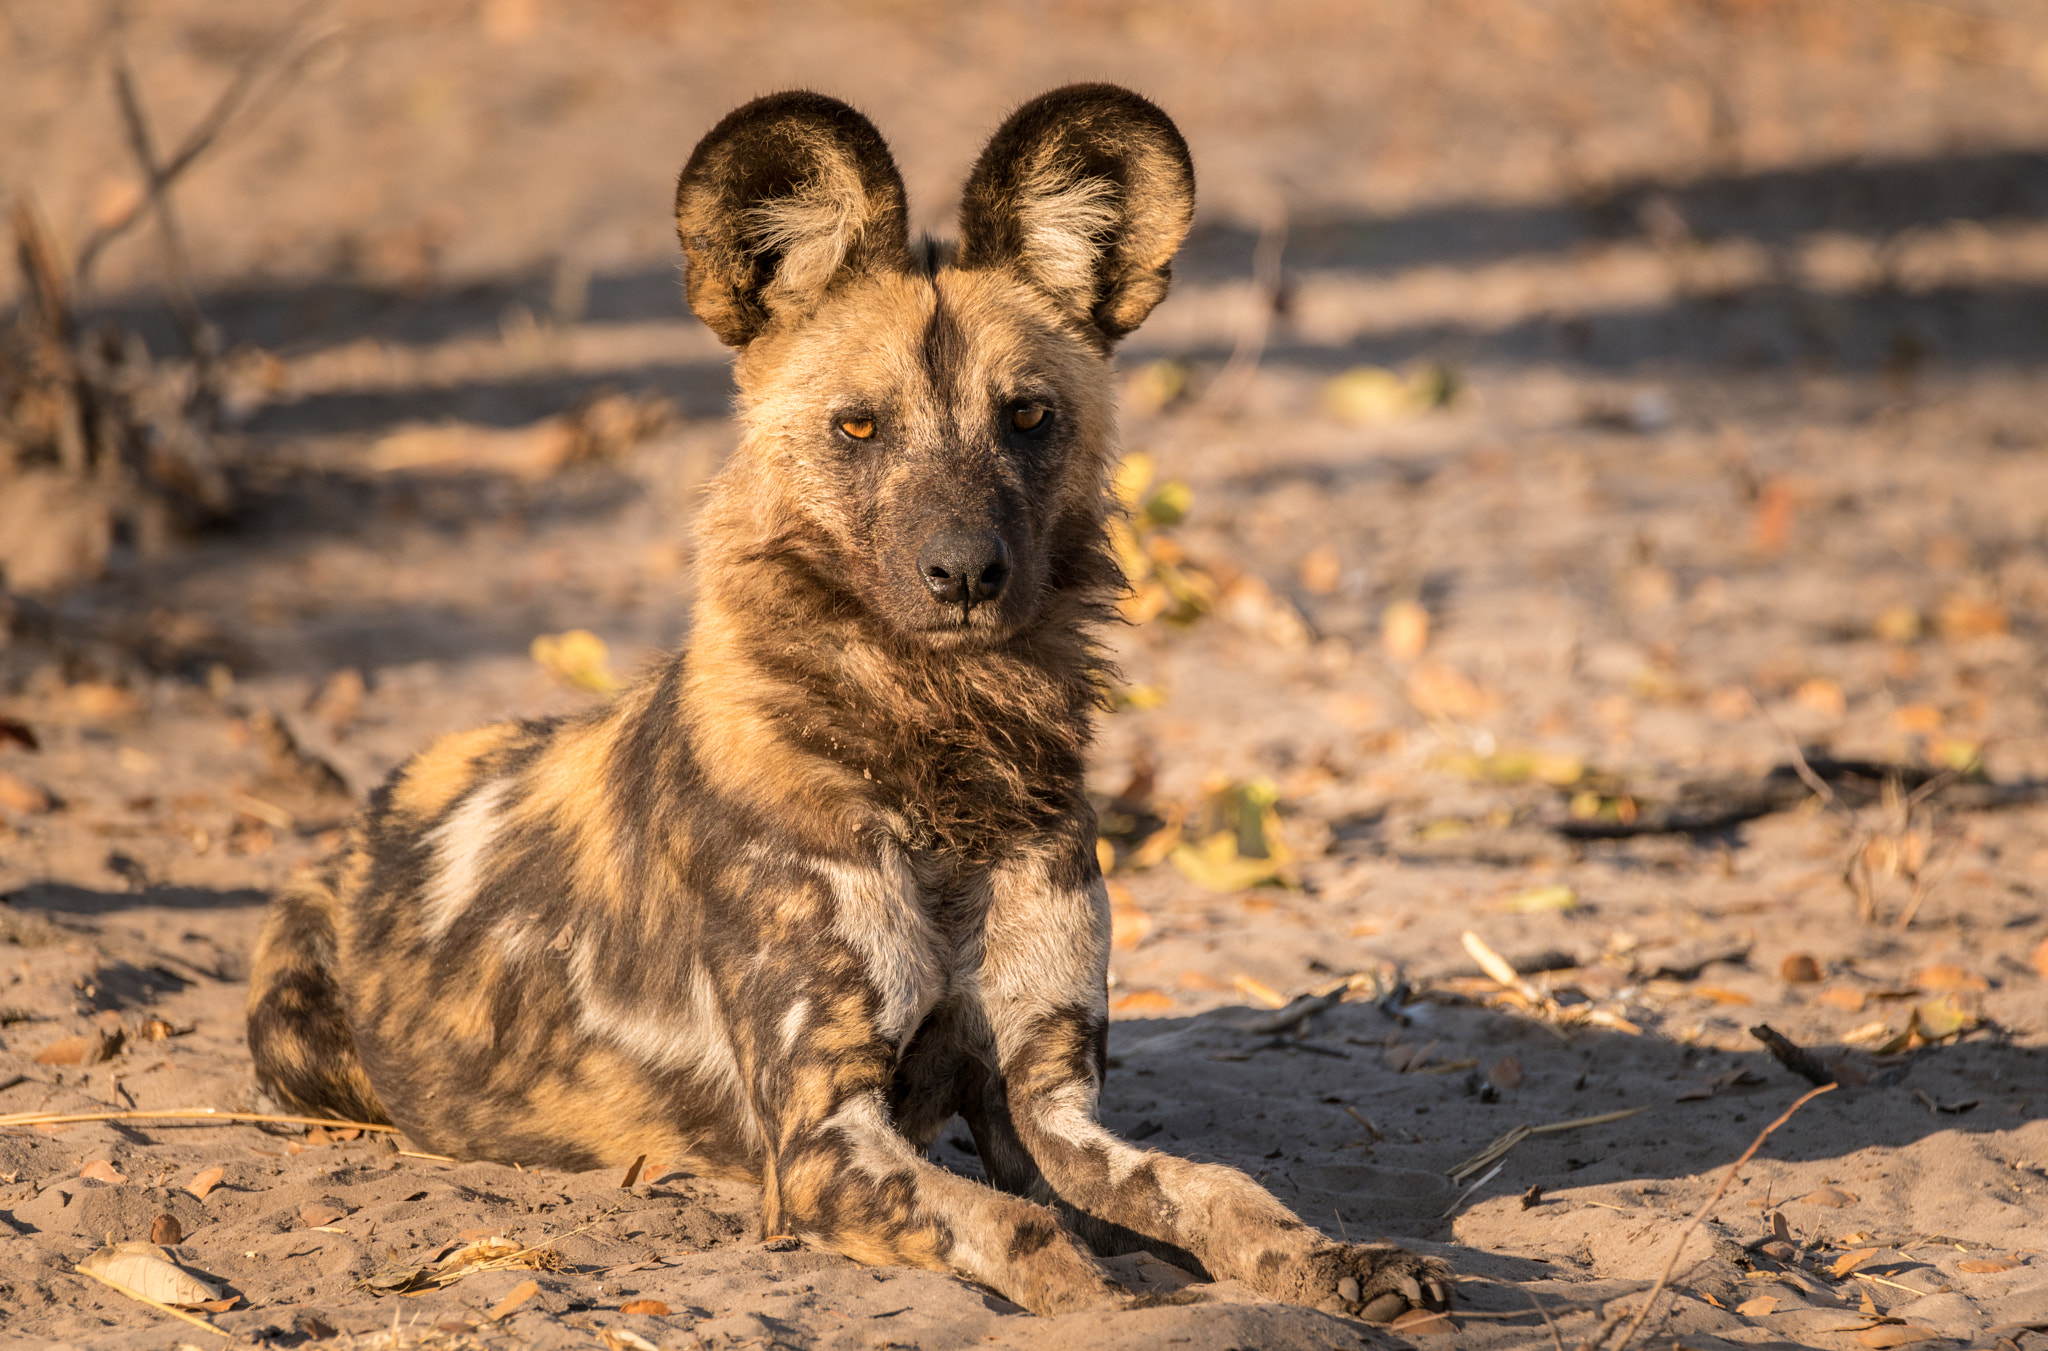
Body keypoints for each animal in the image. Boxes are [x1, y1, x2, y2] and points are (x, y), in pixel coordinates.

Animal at [243, 81, 1458, 1318]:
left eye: (1026, 416)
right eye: (859, 425)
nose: (965, 573)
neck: (942, 746)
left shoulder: (1048, 1109)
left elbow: (1216, 1191)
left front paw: (1338, 1262)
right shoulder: (821, 1140)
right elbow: (1029, 1237)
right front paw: (1111, 1304)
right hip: (299, 1042)